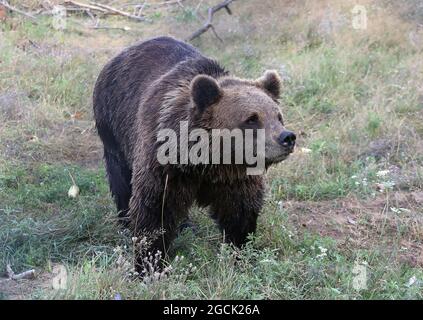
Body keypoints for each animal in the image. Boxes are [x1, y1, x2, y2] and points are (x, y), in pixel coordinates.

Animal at [94, 36, 296, 272]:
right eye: (252, 119)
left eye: (278, 116)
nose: (287, 138)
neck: (208, 161)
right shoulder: (166, 165)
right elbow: (155, 209)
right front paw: (148, 263)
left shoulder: (235, 179)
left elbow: (240, 212)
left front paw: (241, 254)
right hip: (113, 128)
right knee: (121, 180)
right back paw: (126, 221)